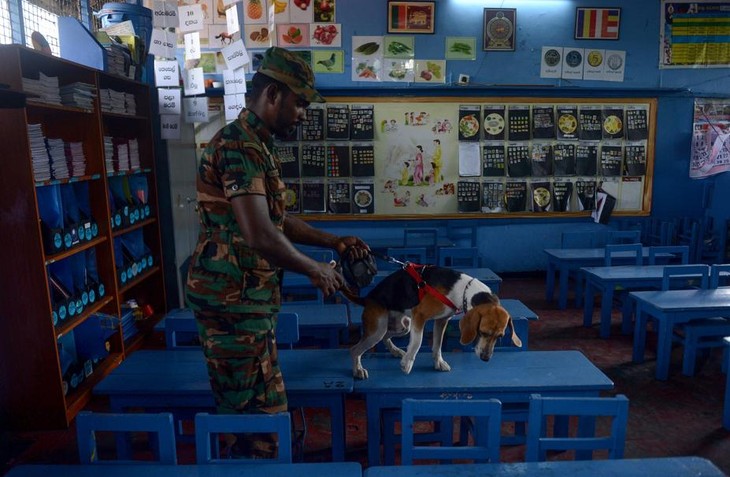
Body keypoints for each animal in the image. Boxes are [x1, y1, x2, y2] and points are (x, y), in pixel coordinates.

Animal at [340, 264, 516, 380]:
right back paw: (358, 370)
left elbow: (437, 345)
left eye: (500, 336)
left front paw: (438, 362)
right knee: (354, 350)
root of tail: (367, 298)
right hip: (378, 329)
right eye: (482, 332)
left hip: (402, 326)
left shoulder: (441, 321)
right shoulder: (419, 315)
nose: (486, 358)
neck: (464, 290)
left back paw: (395, 351)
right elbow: (417, 343)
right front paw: (407, 364)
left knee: (386, 337)